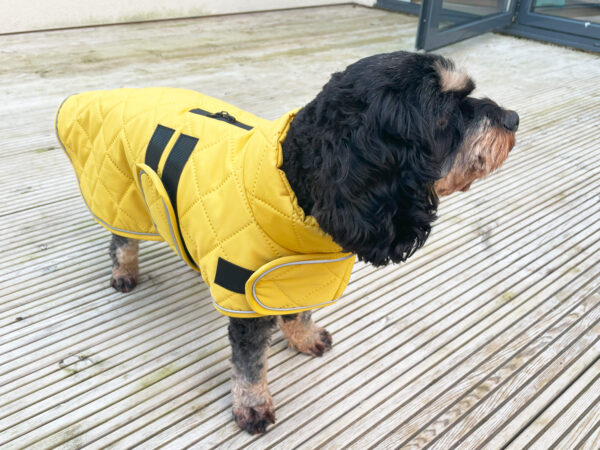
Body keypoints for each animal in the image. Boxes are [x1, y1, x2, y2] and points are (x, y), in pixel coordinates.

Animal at [63, 51, 516, 434]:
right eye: (445, 113)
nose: (512, 118)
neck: (296, 184)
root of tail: (103, 95)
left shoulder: (295, 274)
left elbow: (298, 313)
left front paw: (303, 338)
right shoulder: (246, 296)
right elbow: (250, 363)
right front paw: (252, 404)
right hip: (124, 194)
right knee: (122, 240)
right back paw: (124, 272)